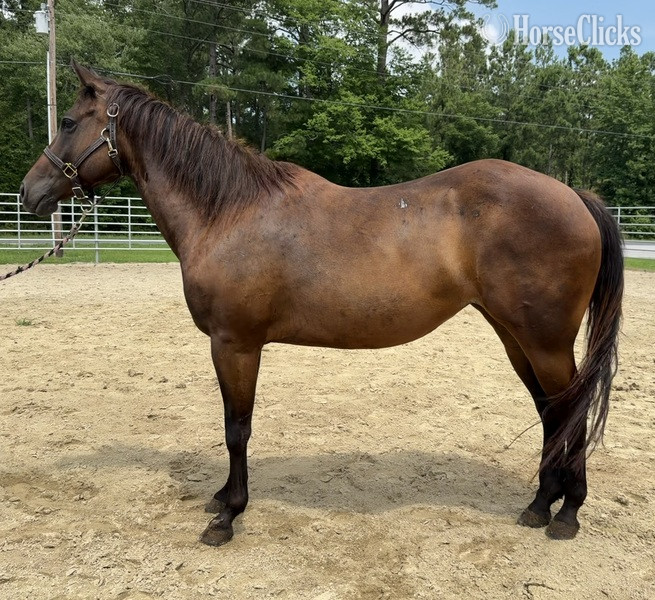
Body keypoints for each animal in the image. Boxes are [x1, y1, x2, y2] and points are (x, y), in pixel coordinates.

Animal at [19, 63, 623, 547]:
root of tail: (574, 196)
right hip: (514, 334)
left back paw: (567, 514)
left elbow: (236, 427)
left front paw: (228, 517)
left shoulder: (235, 345)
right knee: (552, 411)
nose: (29, 193)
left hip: (544, 340)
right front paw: (221, 497)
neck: (228, 211)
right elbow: (233, 425)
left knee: (570, 409)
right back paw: (540, 505)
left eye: (68, 122)